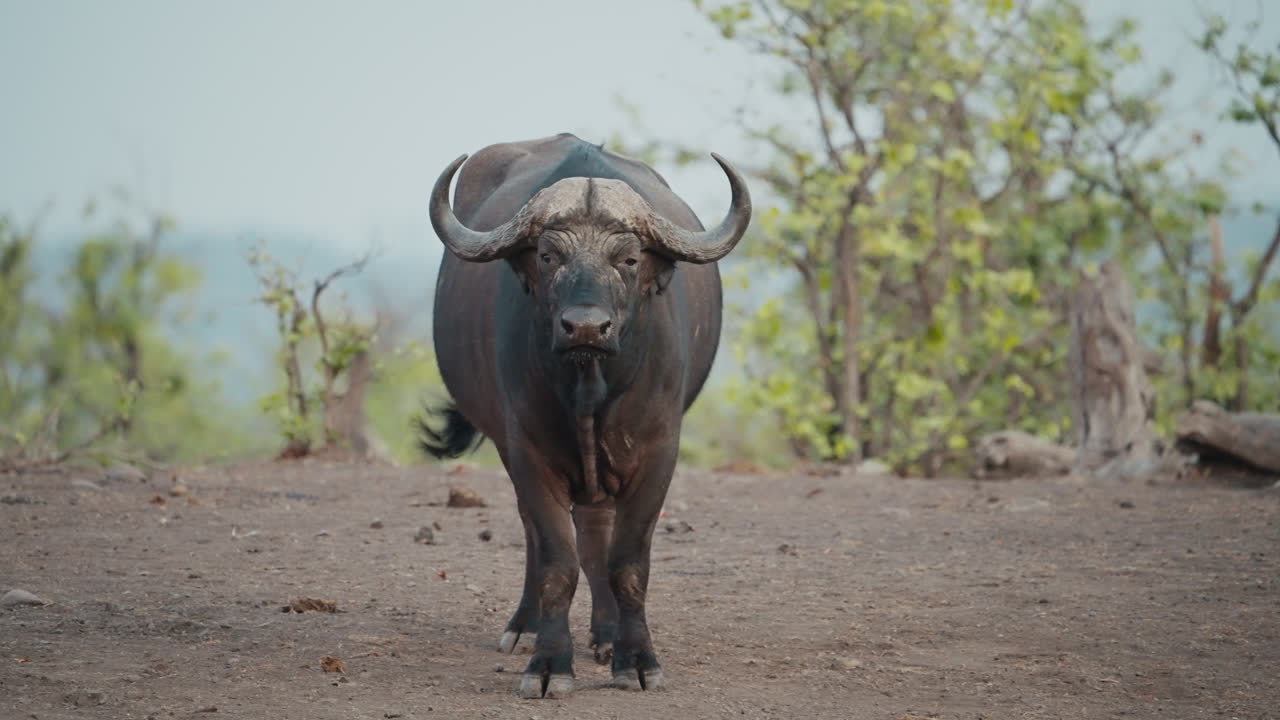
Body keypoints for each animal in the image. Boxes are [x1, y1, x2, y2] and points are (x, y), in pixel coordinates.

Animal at [421, 133, 750, 697]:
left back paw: (606, 633)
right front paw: (549, 664)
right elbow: (557, 560)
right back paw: (527, 626)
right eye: (549, 255)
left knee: (597, 534)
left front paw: (635, 658)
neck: (590, 387)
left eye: (630, 258)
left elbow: (627, 563)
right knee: (540, 534)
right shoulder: (528, 451)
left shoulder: (659, 452)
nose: (586, 328)